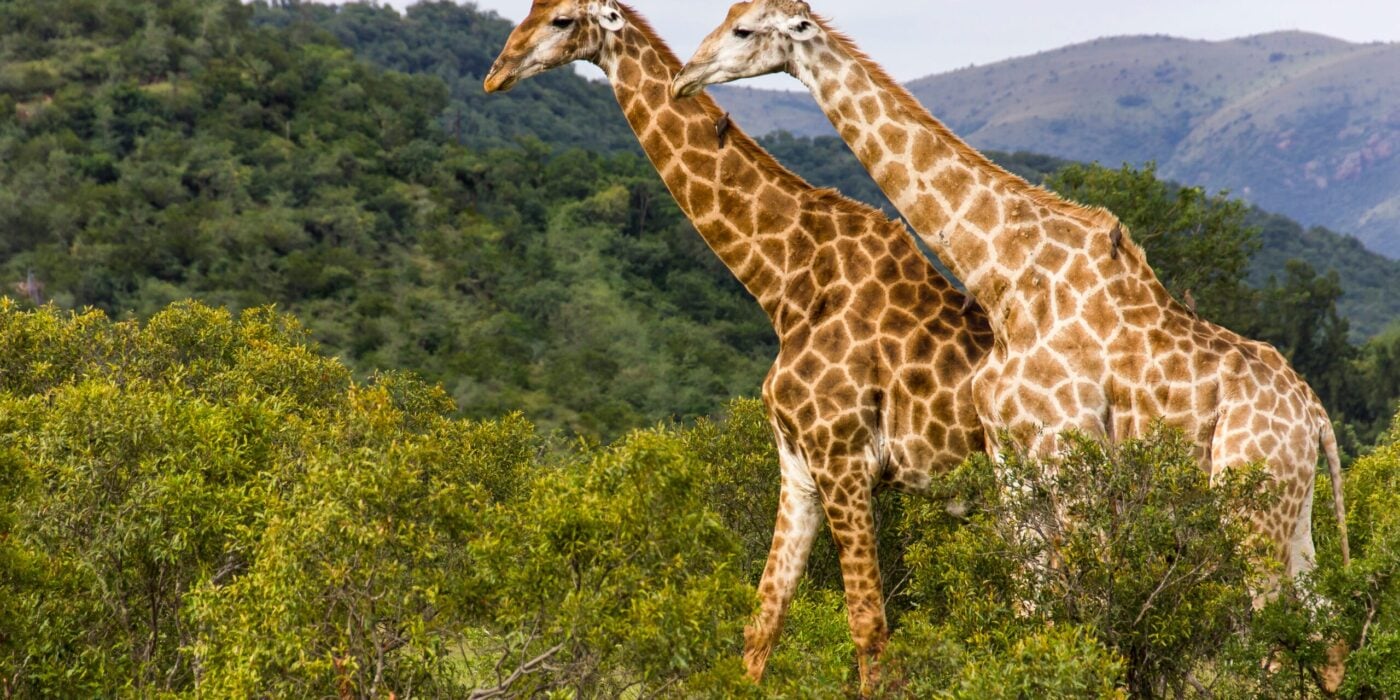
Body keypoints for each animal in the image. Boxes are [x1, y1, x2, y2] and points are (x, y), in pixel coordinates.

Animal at [484, 1, 993, 689]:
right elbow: (761, 621)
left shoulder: (844, 459)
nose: (497, 73)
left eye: (563, 20)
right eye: (528, 11)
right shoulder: (799, 467)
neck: (787, 283)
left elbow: (869, 629)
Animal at [674, 0, 1349, 581]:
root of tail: (1315, 416)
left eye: (742, 30)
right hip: (1293, 514)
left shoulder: (1070, 454)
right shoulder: (1011, 464)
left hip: (1249, 501)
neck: (1007, 281)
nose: (684, 77)